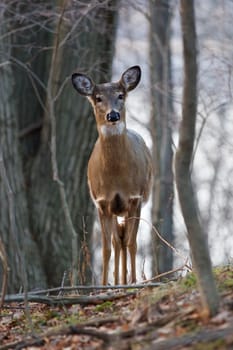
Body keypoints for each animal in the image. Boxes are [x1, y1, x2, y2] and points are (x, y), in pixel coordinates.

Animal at [72, 65, 154, 284]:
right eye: (98, 98)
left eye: (120, 95)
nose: (113, 115)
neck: (116, 177)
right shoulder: (102, 202)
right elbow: (107, 249)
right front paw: (102, 286)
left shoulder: (135, 198)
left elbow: (132, 243)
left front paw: (133, 282)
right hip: (115, 210)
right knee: (118, 241)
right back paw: (117, 281)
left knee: (125, 240)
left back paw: (124, 281)